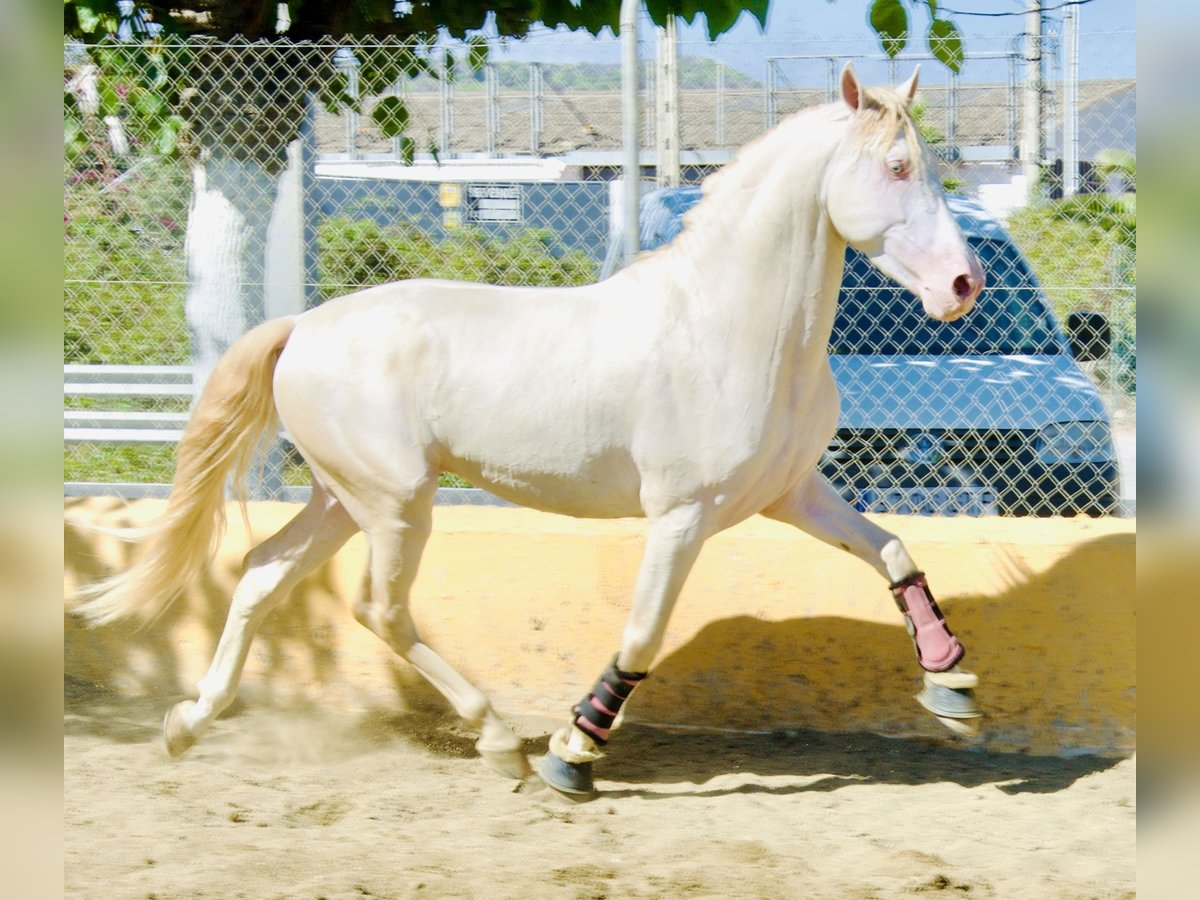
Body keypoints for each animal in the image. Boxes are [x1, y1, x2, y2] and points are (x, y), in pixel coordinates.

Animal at [79, 63, 988, 796]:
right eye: (898, 166)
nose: (962, 283)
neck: (728, 327)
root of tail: (302, 325)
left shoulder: (790, 494)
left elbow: (892, 551)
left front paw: (951, 682)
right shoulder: (682, 517)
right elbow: (642, 634)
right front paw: (573, 754)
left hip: (341, 499)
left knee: (262, 575)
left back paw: (189, 722)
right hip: (396, 504)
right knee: (380, 610)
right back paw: (496, 742)